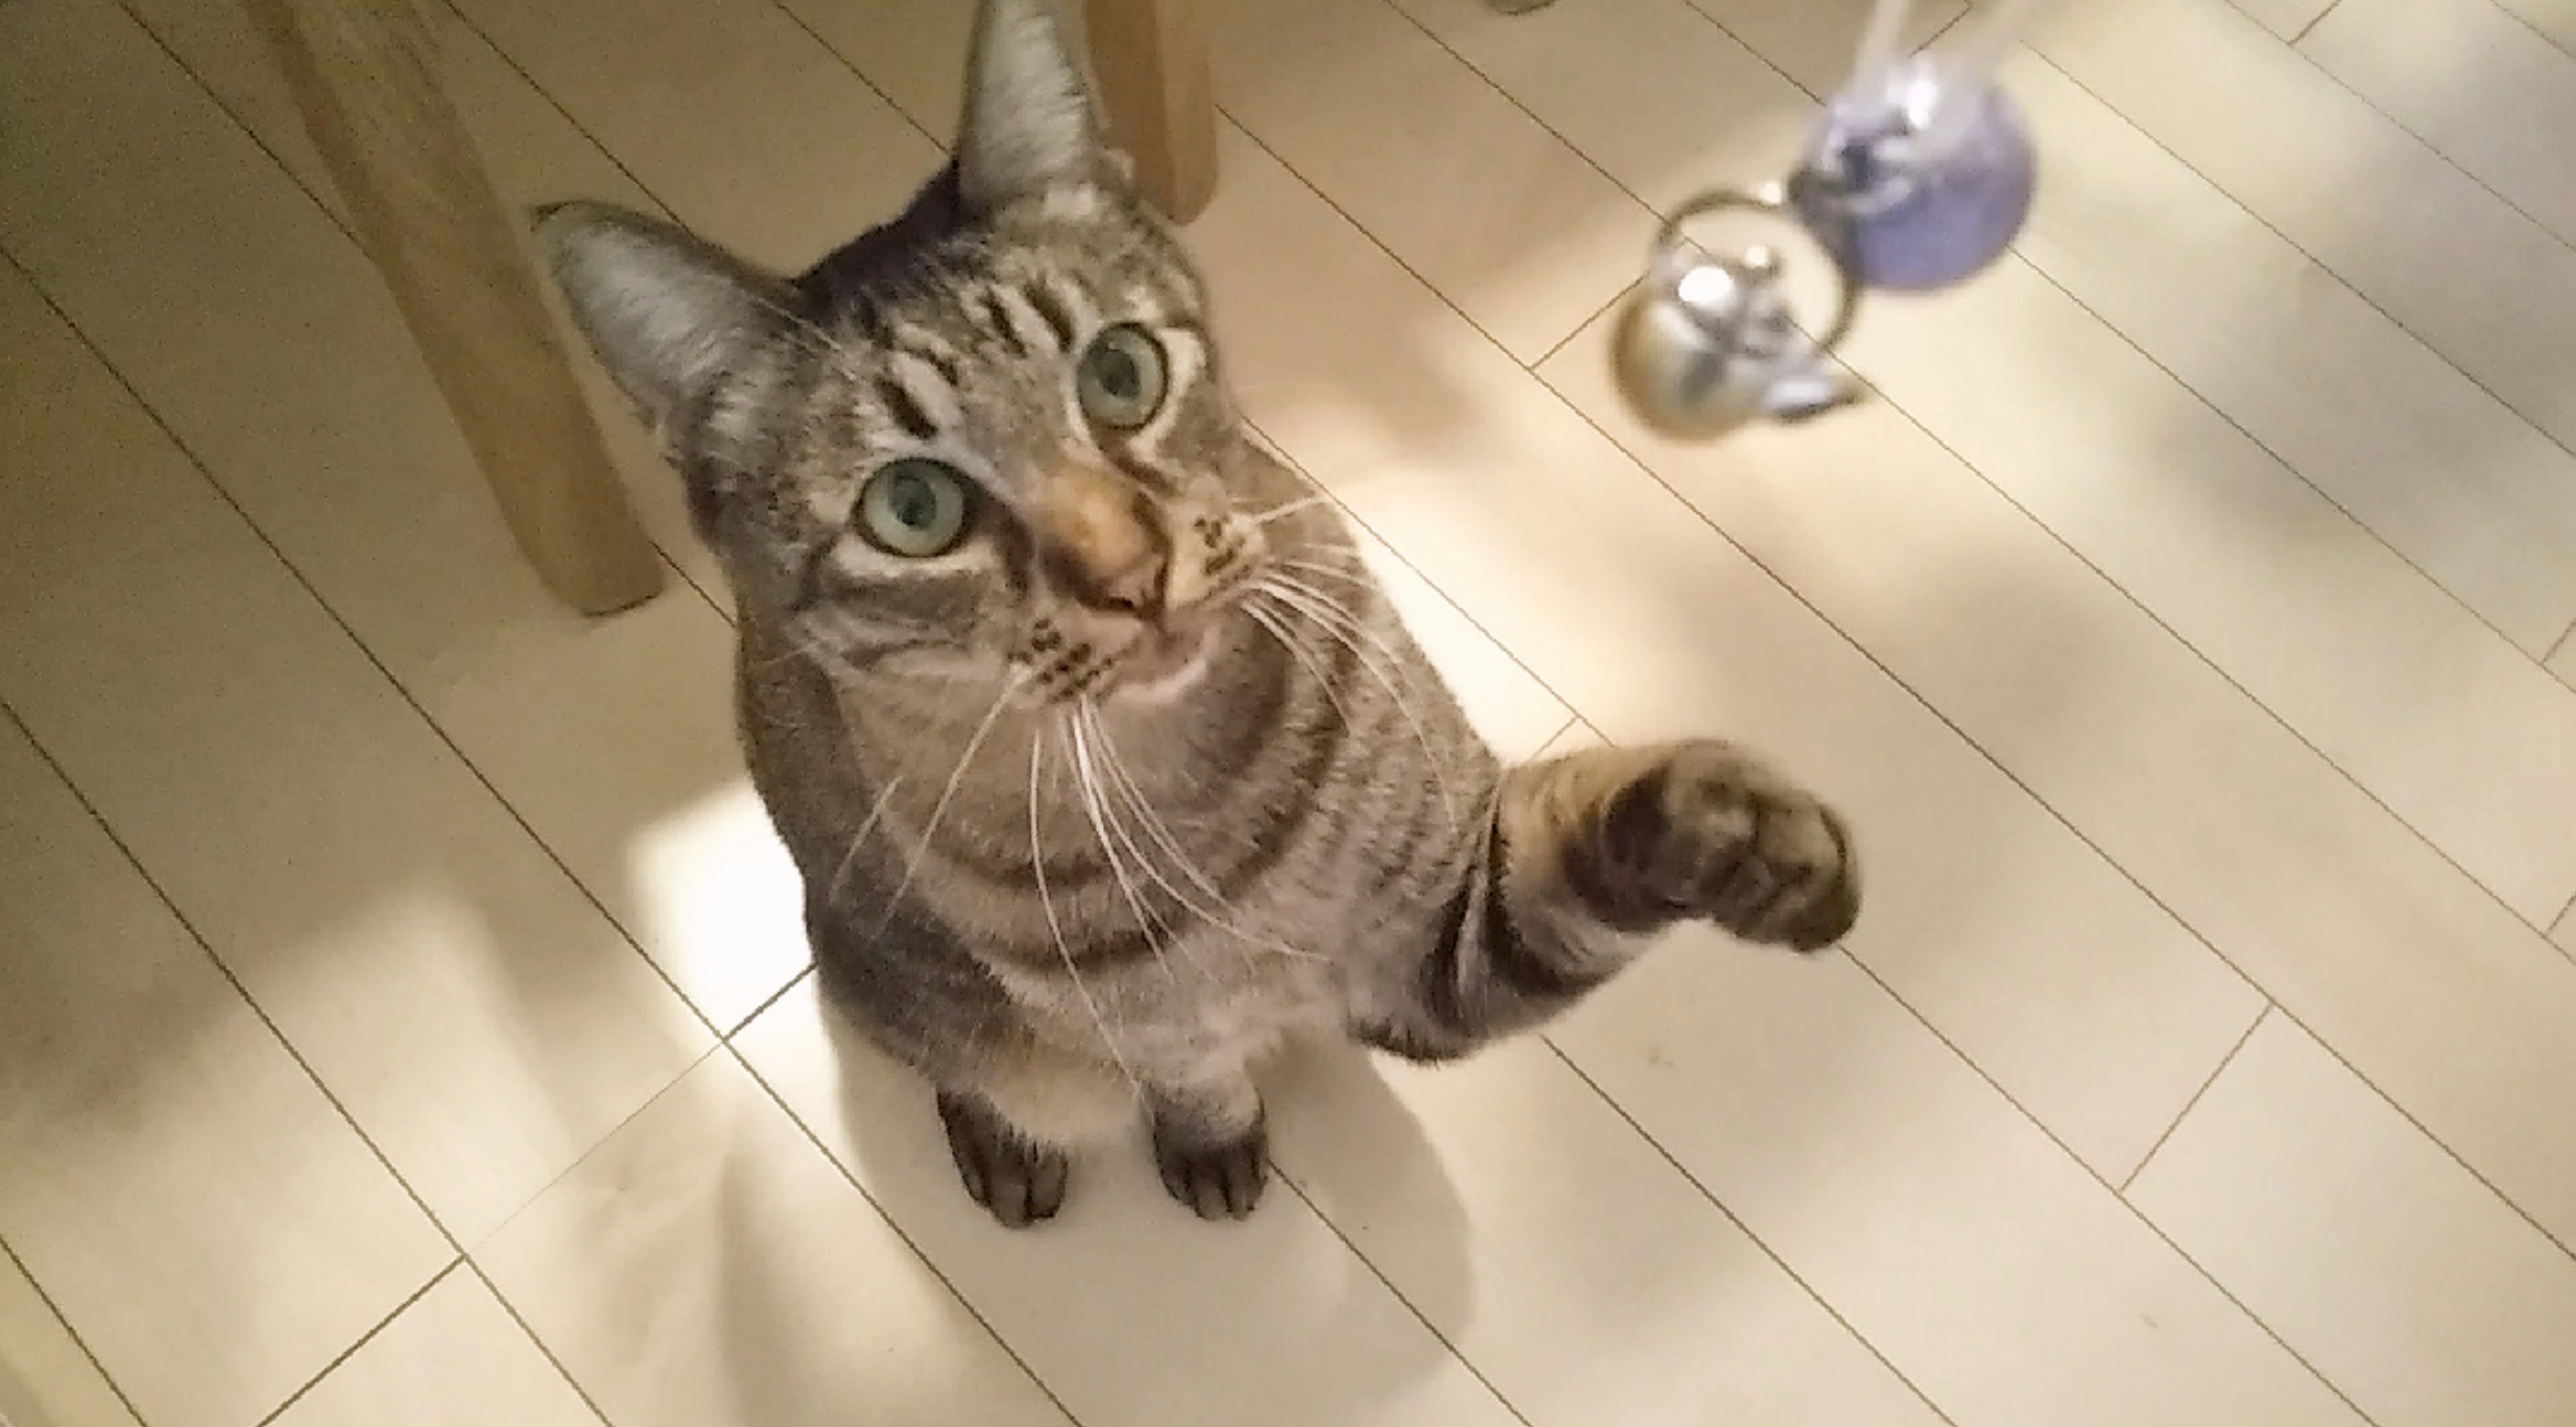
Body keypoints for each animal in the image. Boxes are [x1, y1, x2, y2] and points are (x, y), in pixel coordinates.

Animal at [533, 0, 1865, 1220]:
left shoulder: (1436, 929)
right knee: (961, 1057)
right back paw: (1005, 1140)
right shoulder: (1147, 1023)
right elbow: (1185, 1076)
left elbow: (1604, 842)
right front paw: (1212, 1138)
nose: (1129, 571)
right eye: (912, 508)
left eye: (1120, 373)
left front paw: (1754, 833)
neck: (1207, 806)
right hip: (895, 976)